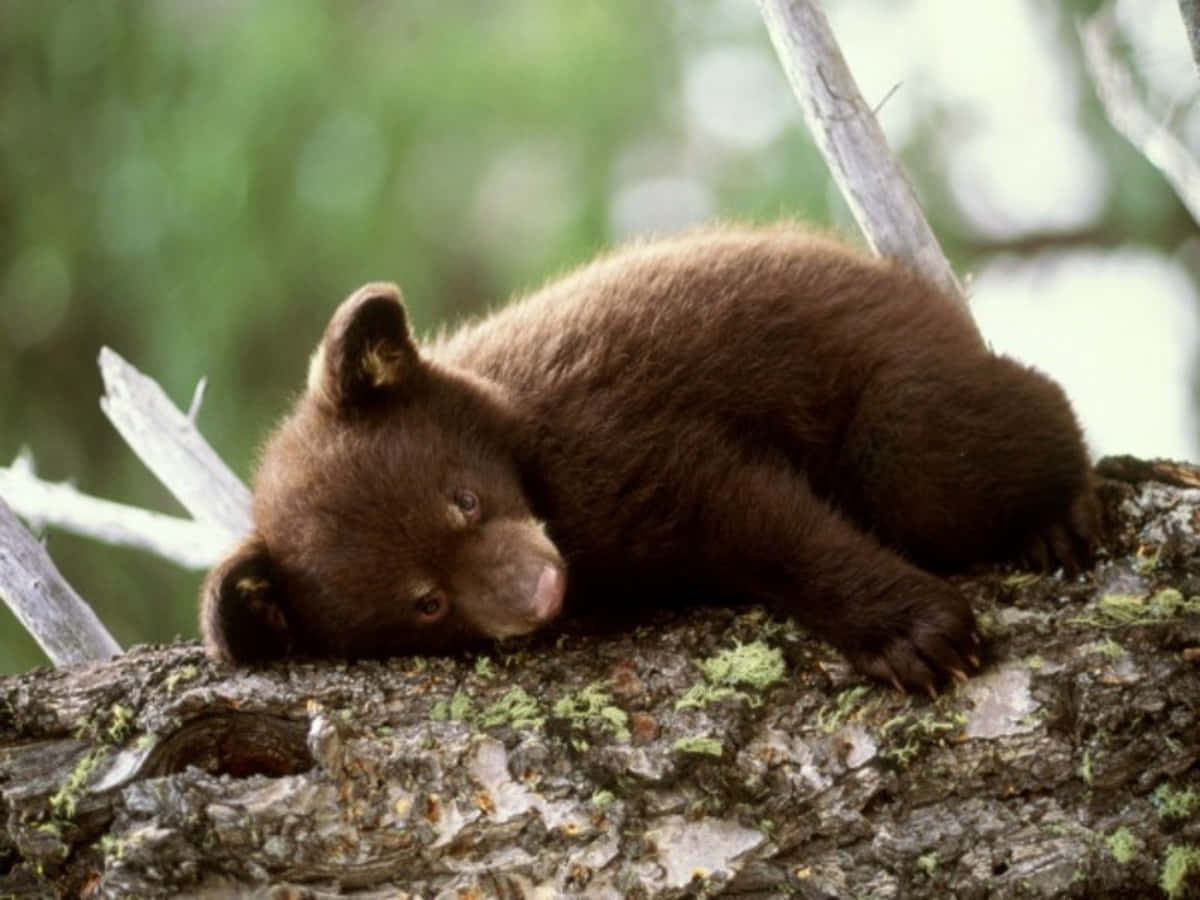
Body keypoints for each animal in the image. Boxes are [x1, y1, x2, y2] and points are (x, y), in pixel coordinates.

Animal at [201, 223, 1098, 695]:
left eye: (464, 499)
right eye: (425, 602)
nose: (538, 590)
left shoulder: (616, 433)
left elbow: (753, 510)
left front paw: (916, 637)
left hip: (903, 391)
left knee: (938, 453)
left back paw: (1065, 510)